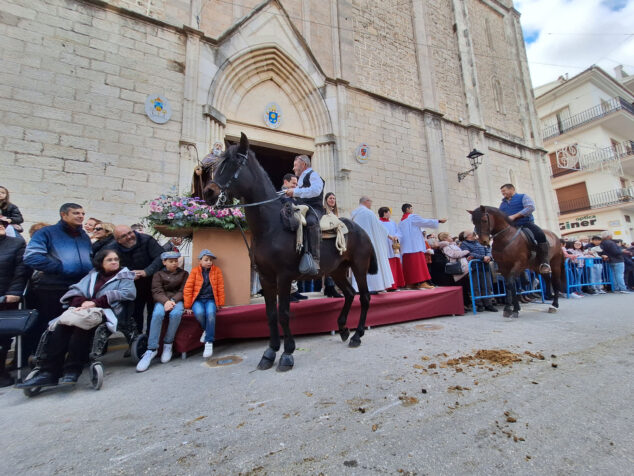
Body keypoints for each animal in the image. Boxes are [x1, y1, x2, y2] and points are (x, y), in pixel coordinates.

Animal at [200, 134, 376, 372]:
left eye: (235, 162)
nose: (208, 192)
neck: (271, 226)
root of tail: (360, 229)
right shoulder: (266, 277)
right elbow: (271, 314)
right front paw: (269, 352)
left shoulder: (283, 276)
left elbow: (283, 313)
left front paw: (287, 354)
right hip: (337, 270)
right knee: (349, 294)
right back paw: (343, 329)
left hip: (358, 266)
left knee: (364, 297)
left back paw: (357, 335)